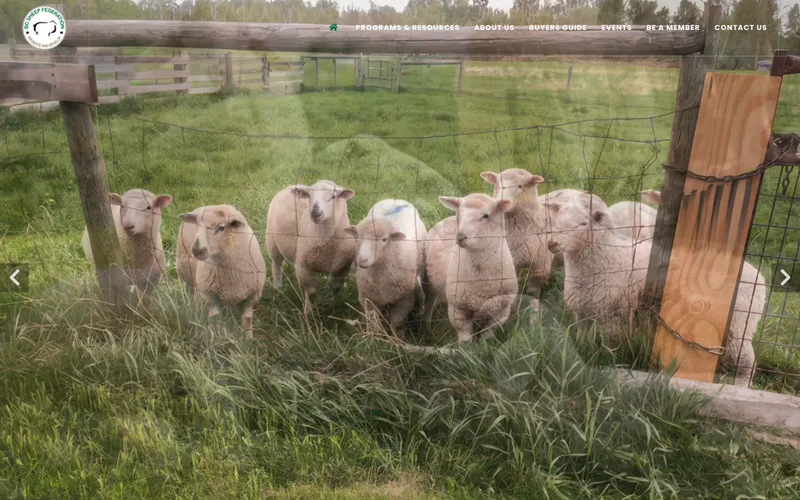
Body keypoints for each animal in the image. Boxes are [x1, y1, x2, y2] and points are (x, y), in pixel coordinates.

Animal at [177, 205, 266, 336]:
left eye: (221, 228)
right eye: (198, 225)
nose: (196, 250)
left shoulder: (252, 296)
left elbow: (247, 320)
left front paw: (248, 338)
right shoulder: (210, 295)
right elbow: (214, 319)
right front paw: (216, 337)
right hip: (188, 277)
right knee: (192, 293)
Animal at [266, 180, 357, 315]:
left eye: (333, 196)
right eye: (309, 195)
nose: (315, 213)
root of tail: (291, 185)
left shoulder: (342, 267)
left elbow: (336, 286)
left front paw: (338, 305)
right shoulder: (304, 268)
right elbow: (311, 292)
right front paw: (308, 314)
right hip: (272, 244)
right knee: (276, 268)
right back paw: (277, 293)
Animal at [343, 199, 427, 337]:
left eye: (384, 239)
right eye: (357, 237)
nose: (362, 260)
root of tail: (395, 199)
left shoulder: (405, 299)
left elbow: (397, 323)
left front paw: (397, 340)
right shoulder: (368, 299)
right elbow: (374, 323)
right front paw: (375, 339)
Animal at [423, 194, 518, 343]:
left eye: (486, 216)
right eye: (460, 213)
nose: (460, 237)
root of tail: (447, 219)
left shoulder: (501, 310)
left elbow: (487, 335)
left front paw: (484, 345)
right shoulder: (458, 309)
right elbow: (465, 340)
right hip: (429, 282)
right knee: (429, 303)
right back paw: (426, 326)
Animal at [547, 199, 767, 387]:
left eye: (583, 223)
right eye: (557, 220)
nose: (552, 243)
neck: (611, 256)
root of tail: (759, 278)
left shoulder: (613, 315)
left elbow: (610, 346)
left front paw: (607, 364)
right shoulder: (584, 314)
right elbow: (586, 343)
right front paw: (585, 359)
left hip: (738, 325)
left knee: (746, 361)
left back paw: (740, 386)